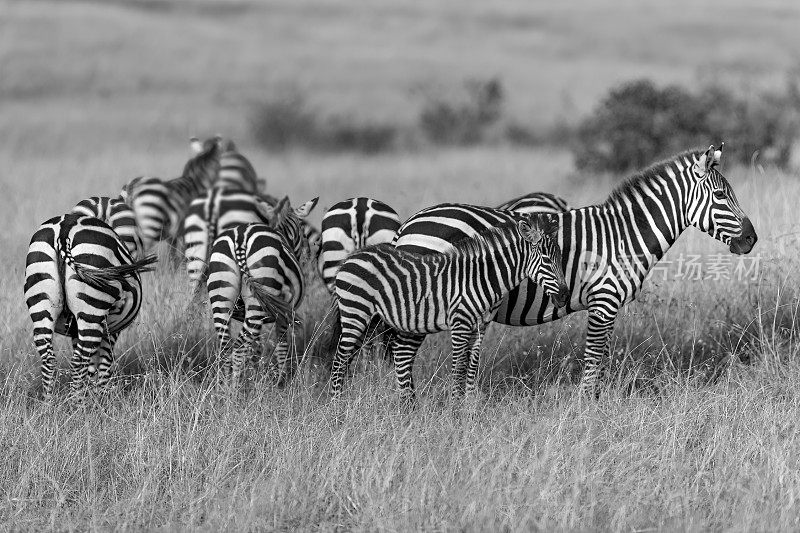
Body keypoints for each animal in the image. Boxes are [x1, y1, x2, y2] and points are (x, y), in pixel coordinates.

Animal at [23, 211, 158, 394]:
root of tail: (64, 228)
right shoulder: (110, 329)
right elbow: (105, 364)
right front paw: (101, 395)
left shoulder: (75, 329)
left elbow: (92, 365)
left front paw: (90, 392)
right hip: (93, 308)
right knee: (79, 361)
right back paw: (76, 401)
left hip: (41, 300)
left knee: (49, 359)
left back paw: (50, 401)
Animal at [206, 195, 318, 382]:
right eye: (303, 231)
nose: (308, 254)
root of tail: (240, 239)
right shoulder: (283, 314)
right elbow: (281, 346)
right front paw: (281, 380)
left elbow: (256, 349)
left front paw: (255, 375)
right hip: (258, 299)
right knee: (239, 348)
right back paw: (234, 388)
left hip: (222, 294)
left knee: (226, 348)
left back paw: (223, 386)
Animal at [328, 213, 572, 400]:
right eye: (547, 260)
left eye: (561, 258)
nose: (564, 296)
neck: (483, 277)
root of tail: (352, 257)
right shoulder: (460, 322)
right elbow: (459, 366)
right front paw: (455, 408)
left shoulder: (480, 325)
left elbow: (472, 364)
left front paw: (469, 407)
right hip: (355, 312)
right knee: (340, 358)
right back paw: (337, 407)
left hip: (369, 317)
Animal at [396, 144, 760, 394]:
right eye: (720, 196)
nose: (751, 239)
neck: (624, 234)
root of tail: (410, 224)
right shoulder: (604, 301)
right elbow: (593, 361)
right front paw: (588, 413)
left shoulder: (610, 306)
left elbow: (602, 362)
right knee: (402, 352)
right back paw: (409, 409)